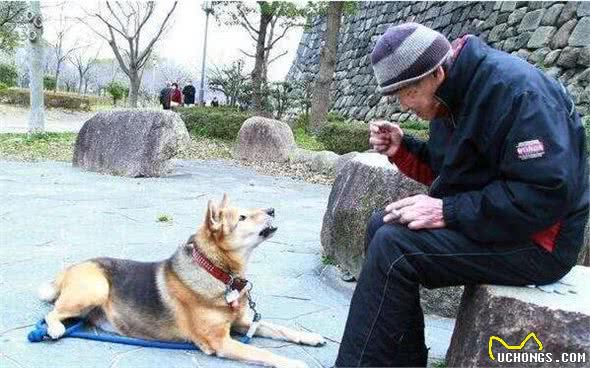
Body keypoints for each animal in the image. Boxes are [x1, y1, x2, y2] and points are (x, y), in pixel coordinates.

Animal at [38, 194, 328, 366]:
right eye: (242, 217)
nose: (272, 209)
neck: (216, 271)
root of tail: (70, 268)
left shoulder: (244, 324)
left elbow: (280, 328)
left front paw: (310, 337)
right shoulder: (220, 342)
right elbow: (265, 353)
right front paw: (296, 363)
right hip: (95, 288)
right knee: (51, 313)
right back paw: (55, 328)